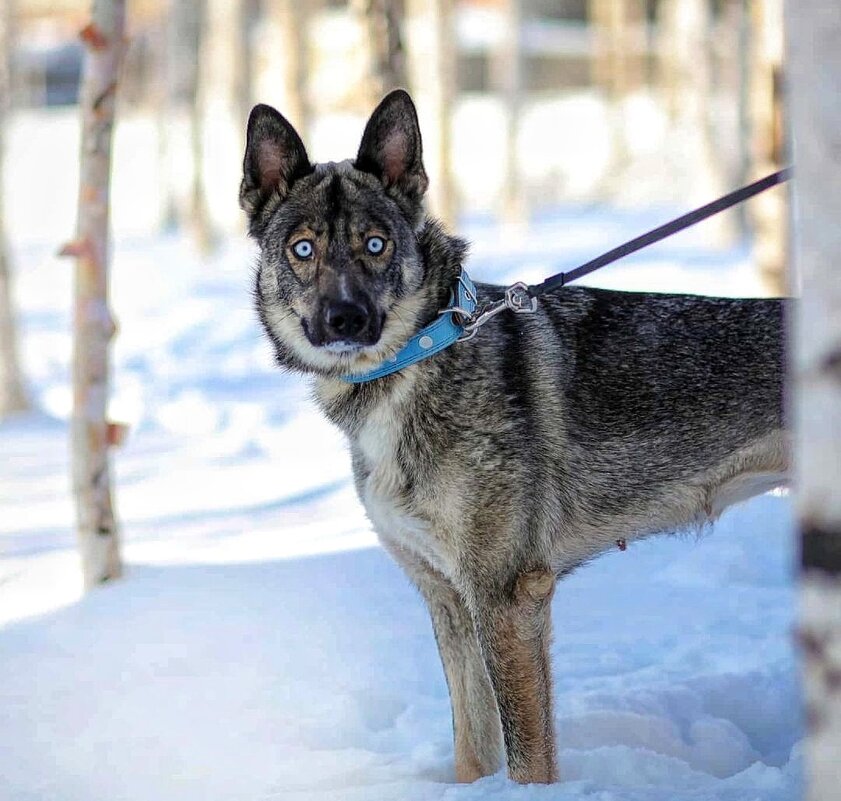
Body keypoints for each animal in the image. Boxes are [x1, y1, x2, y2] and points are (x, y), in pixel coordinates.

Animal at [238, 90, 788, 784]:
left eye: (376, 244)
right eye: (304, 249)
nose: (346, 319)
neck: (421, 357)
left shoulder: (507, 600)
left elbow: (528, 755)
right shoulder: (449, 602)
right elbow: (472, 748)